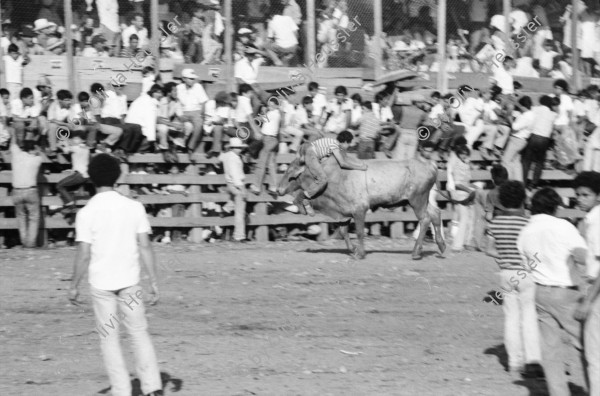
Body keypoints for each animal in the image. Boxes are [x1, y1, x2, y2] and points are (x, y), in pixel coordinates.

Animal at [278, 156, 452, 262]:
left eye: (289, 171)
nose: (277, 189)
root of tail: (430, 164)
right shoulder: (344, 213)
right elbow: (344, 232)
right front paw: (353, 249)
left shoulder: (359, 210)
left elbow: (360, 232)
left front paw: (360, 253)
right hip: (421, 200)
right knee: (435, 214)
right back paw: (441, 246)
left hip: (417, 200)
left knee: (425, 219)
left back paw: (416, 252)